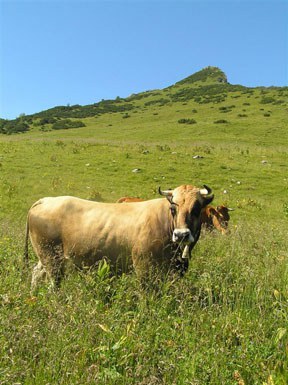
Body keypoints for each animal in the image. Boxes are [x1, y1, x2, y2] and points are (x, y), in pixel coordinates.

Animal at [24, 183, 214, 288]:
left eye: (197, 208)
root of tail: (46, 200)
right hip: (51, 258)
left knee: (36, 273)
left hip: (47, 256)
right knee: (53, 282)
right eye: (173, 208)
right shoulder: (143, 266)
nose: (181, 234)